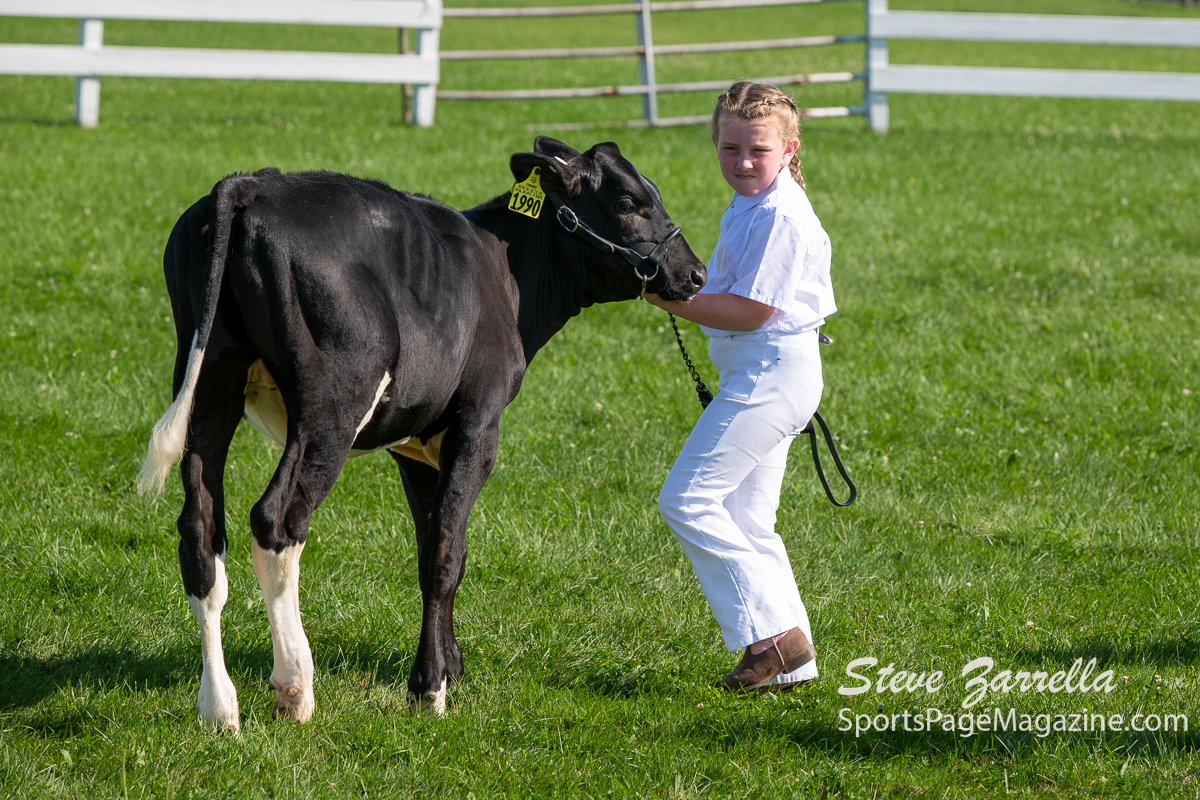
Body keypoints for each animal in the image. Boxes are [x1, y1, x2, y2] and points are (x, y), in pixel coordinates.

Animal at [137, 136, 707, 732]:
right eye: (629, 201)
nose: (694, 273)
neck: (505, 276)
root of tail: (253, 183)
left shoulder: (414, 444)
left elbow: (434, 542)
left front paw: (449, 664)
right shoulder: (477, 427)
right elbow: (444, 557)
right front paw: (429, 690)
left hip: (208, 382)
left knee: (200, 530)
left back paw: (219, 706)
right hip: (331, 406)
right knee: (278, 518)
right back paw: (295, 686)